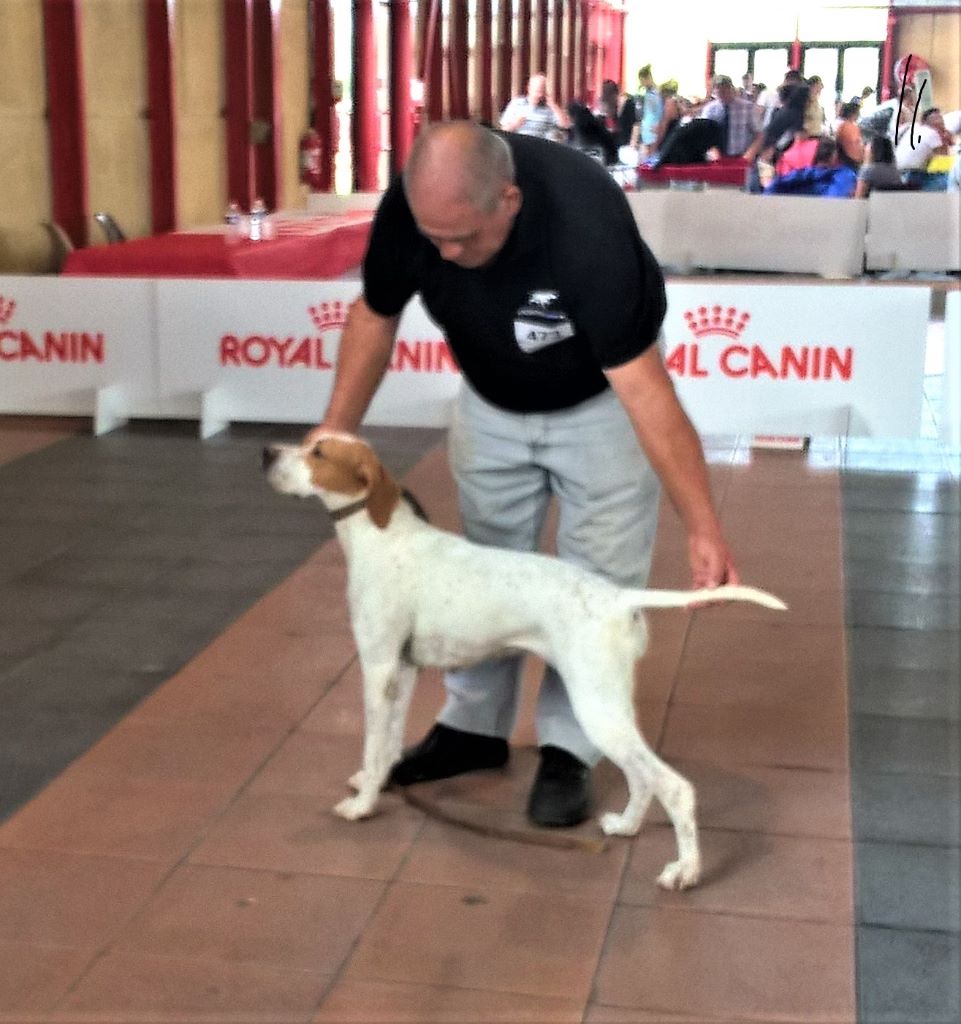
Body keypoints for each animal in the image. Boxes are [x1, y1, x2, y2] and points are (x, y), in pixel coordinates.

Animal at [262, 432, 786, 888]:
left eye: (319, 452)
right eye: (307, 439)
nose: (266, 451)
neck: (383, 535)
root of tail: (617, 597)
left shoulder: (377, 667)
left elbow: (373, 744)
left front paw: (363, 804)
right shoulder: (401, 671)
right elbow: (387, 741)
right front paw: (378, 780)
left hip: (595, 709)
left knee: (674, 787)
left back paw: (685, 871)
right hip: (609, 706)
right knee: (642, 776)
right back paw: (625, 826)